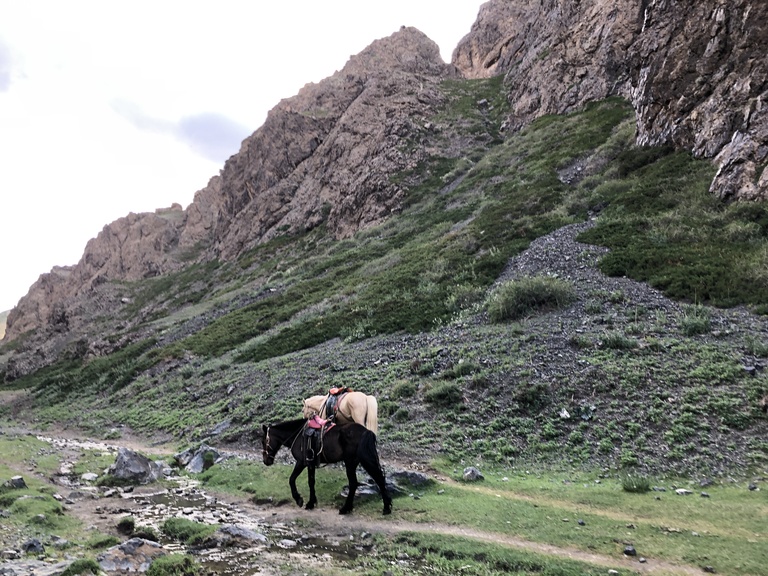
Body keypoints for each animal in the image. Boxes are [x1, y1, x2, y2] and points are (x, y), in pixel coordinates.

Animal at [262, 416, 392, 516]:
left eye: (263, 441)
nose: (266, 461)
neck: (297, 435)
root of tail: (365, 431)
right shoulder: (311, 464)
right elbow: (311, 482)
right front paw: (311, 502)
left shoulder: (301, 462)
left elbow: (292, 479)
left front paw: (300, 500)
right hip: (359, 461)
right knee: (378, 479)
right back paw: (386, 507)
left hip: (350, 462)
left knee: (355, 483)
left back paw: (346, 508)